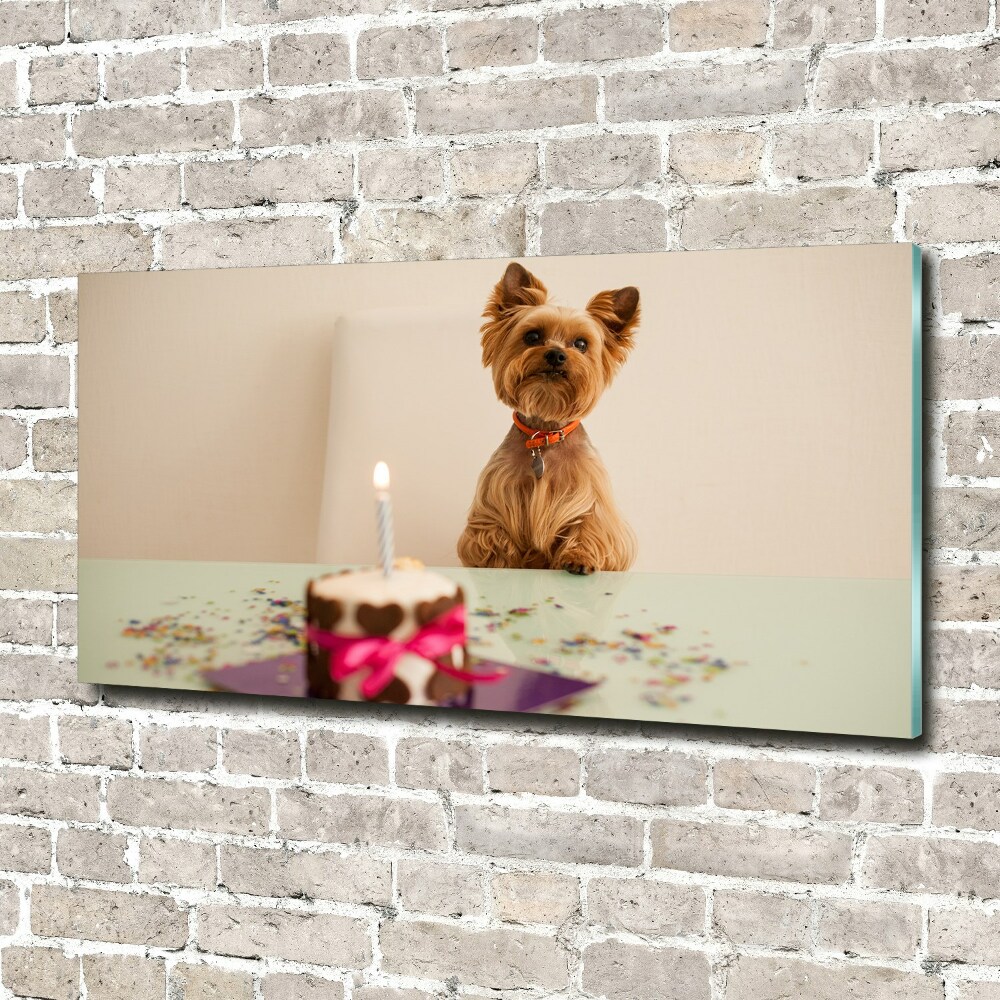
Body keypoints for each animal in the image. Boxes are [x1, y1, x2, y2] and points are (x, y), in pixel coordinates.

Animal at [458, 262, 636, 576]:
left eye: (581, 344)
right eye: (532, 337)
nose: (555, 355)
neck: (544, 435)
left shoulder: (592, 501)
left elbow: (589, 527)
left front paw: (580, 557)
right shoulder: (494, 499)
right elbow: (491, 533)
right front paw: (499, 561)